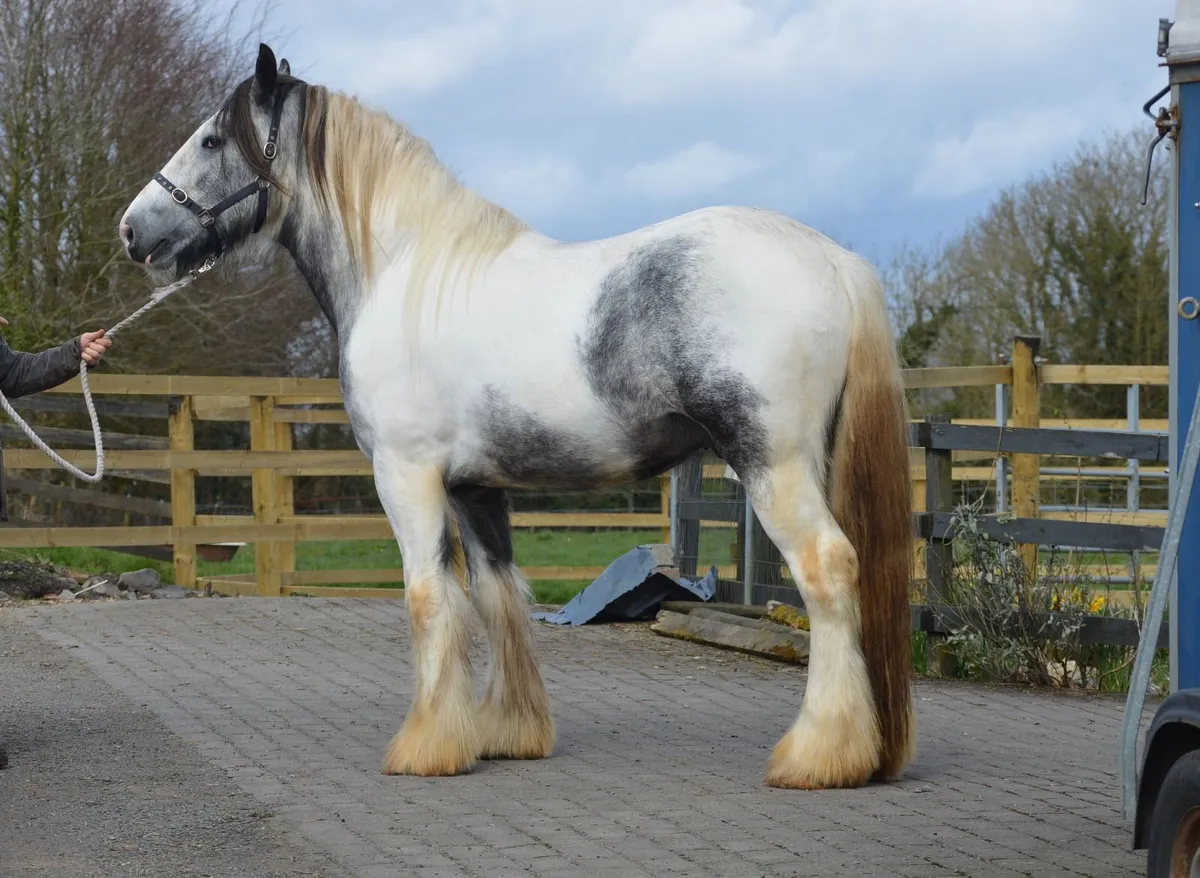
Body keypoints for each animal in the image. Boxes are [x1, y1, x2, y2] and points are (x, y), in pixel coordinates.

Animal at [117, 43, 916, 790]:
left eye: (211, 141)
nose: (132, 231)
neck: (403, 271)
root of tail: (832, 259)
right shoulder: (476, 489)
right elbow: (496, 597)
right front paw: (506, 732)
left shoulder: (406, 476)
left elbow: (428, 599)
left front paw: (428, 746)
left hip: (773, 464)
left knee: (828, 570)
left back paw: (820, 754)